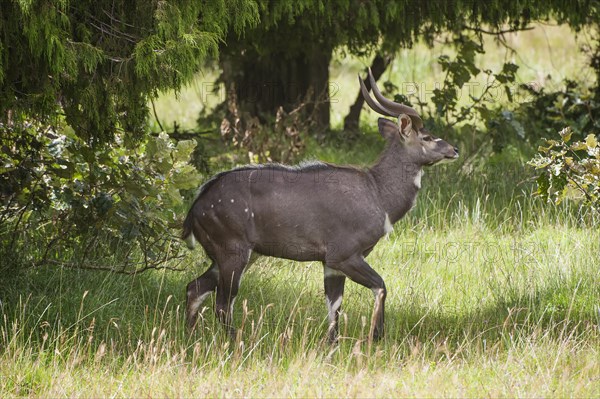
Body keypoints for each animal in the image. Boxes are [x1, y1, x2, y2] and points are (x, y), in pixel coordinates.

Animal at [183, 69, 460, 344]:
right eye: (427, 137)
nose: (454, 149)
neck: (378, 194)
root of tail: (195, 209)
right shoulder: (344, 254)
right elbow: (380, 286)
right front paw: (375, 336)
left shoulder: (330, 263)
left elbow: (334, 304)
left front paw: (332, 343)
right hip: (233, 251)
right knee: (222, 303)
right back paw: (236, 342)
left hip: (235, 255)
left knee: (194, 288)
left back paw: (191, 338)